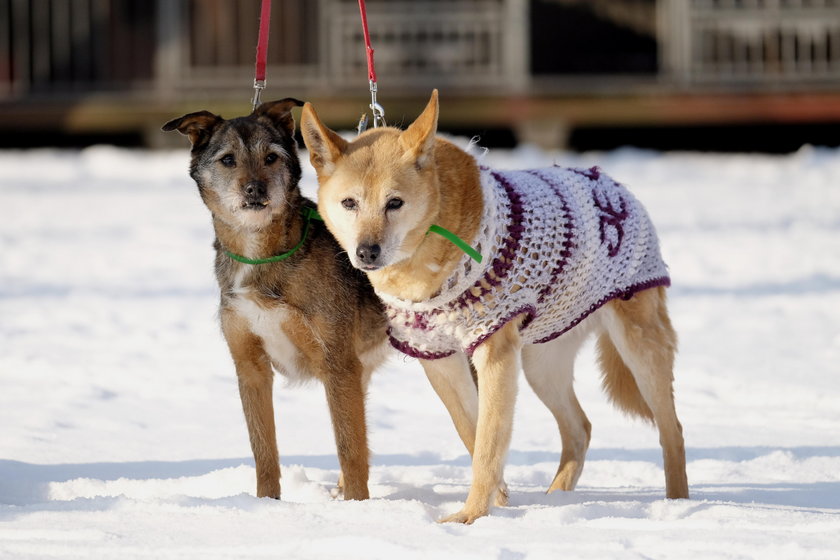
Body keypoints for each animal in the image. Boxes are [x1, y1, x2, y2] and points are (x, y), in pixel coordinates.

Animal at [162, 99, 388, 498]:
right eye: (228, 160)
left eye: (271, 158)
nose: (255, 189)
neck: (261, 257)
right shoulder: (250, 367)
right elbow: (264, 450)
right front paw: (266, 504)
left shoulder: (338, 364)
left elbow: (350, 449)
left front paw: (357, 507)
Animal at [302, 89, 688, 524]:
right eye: (349, 202)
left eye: (394, 202)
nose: (367, 252)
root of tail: (612, 184)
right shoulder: (437, 357)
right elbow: (471, 432)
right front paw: (498, 498)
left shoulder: (494, 352)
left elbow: (487, 442)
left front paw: (471, 516)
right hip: (541, 363)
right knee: (580, 428)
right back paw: (555, 501)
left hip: (638, 347)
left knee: (672, 431)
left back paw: (677, 504)